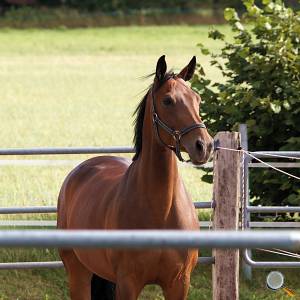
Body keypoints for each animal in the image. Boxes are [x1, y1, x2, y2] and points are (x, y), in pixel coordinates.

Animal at [57, 55, 213, 298]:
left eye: (197, 99)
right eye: (167, 100)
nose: (204, 146)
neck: (161, 210)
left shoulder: (179, 283)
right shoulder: (128, 283)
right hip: (78, 272)